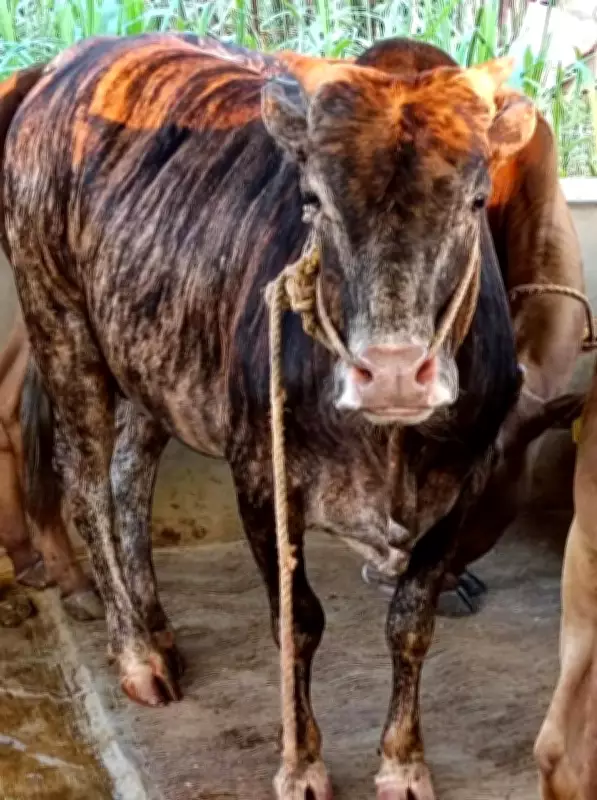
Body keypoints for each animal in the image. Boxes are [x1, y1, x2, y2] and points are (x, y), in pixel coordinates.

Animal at [2, 33, 547, 799]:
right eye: (312, 199)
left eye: (474, 201)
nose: (390, 372)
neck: (389, 449)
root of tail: (61, 64)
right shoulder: (261, 475)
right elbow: (299, 622)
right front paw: (304, 763)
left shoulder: (463, 482)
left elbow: (411, 621)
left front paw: (402, 761)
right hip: (62, 324)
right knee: (86, 485)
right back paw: (136, 653)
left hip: (151, 358)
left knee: (129, 478)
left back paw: (156, 624)